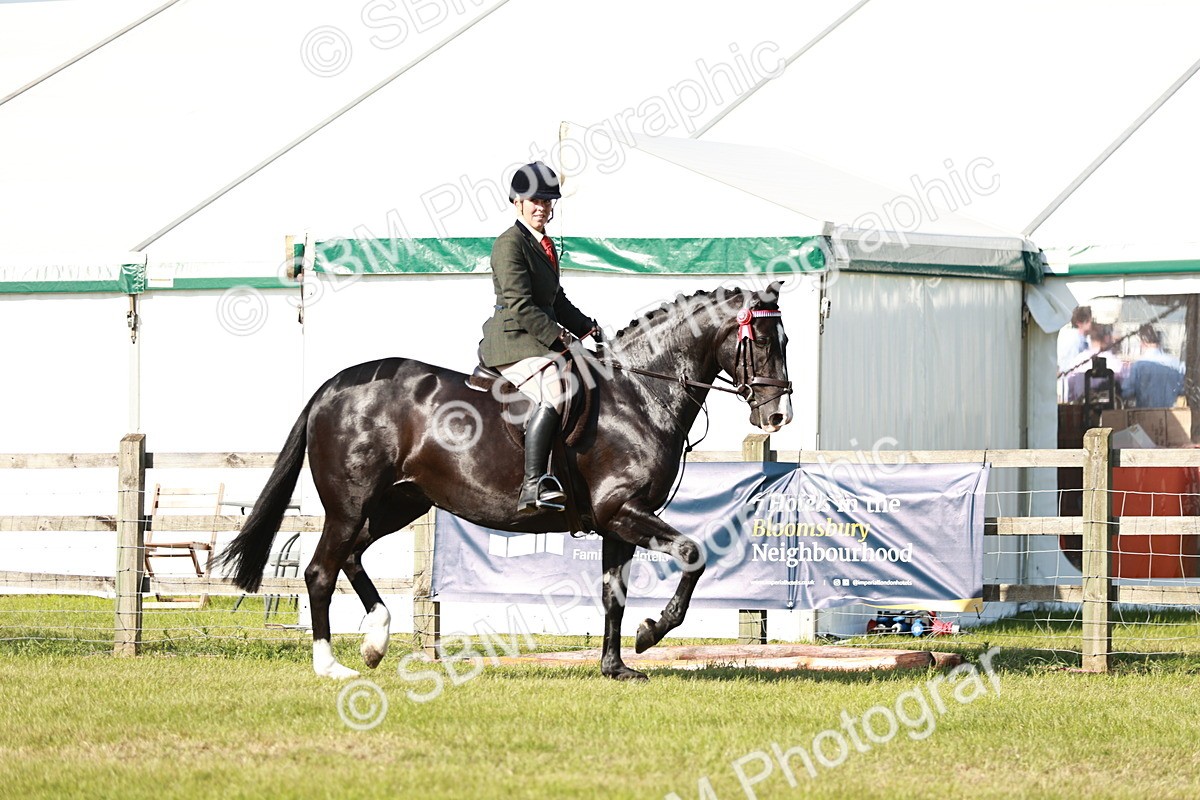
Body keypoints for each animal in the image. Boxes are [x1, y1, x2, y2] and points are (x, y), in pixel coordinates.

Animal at [217, 281, 793, 680]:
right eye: (763, 341)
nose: (777, 416)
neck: (639, 395)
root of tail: (333, 386)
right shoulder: (622, 512)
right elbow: (693, 554)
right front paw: (652, 634)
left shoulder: (617, 523)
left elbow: (613, 595)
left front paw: (616, 668)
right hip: (349, 504)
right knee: (321, 571)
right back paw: (331, 665)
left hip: (399, 504)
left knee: (353, 556)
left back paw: (375, 641)